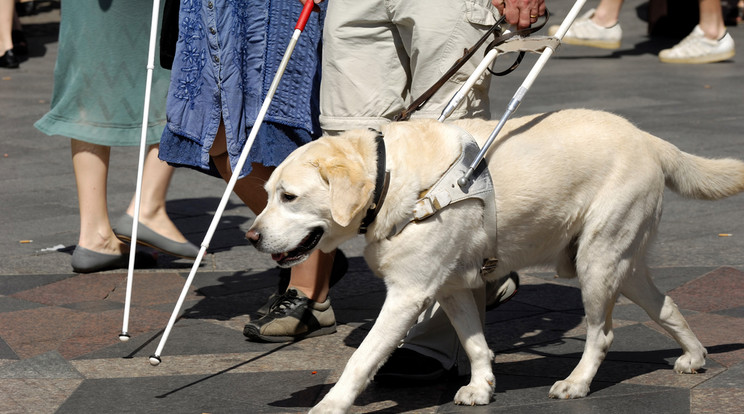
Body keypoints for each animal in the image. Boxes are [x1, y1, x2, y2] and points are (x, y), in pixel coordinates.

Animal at [246, 108, 744, 412]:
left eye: (289, 197)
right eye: (268, 194)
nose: (251, 236)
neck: (394, 179)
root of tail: (649, 138)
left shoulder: (408, 294)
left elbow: (363, 358)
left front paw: (331, 404)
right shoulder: (451, 287)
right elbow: (474, 343)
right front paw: (482, 386)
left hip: (597, 263)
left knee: (602, 335)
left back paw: (578, 382)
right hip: (623, 263)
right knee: (667, 306)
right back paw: (694, 356)